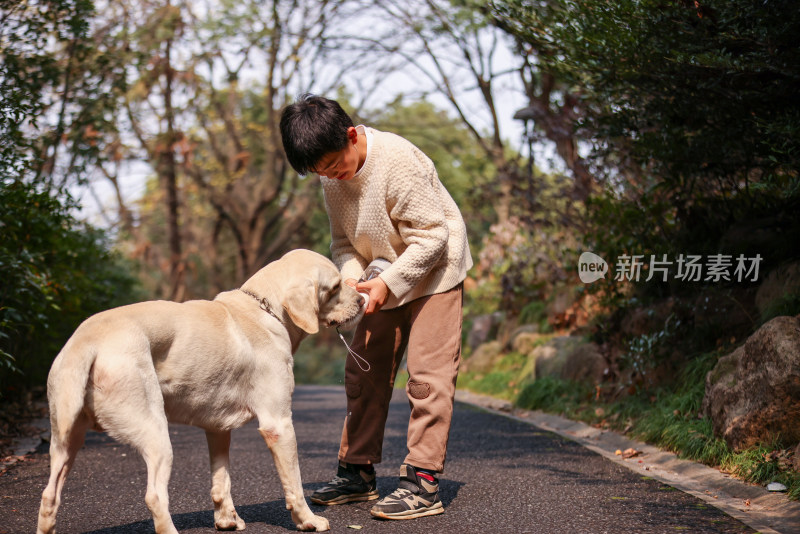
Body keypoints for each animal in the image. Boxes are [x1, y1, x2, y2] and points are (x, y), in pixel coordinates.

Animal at [36, 251, 362, 534]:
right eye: (335, 286)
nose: (362, 298)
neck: (264, 309)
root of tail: (87, 340)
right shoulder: (278, 425)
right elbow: (294, 484)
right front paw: (308, 521)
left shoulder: (217, 429)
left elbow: (221, 481)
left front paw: (227, 520)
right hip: (156, 435)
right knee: (154, 496)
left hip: (66, 441)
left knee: (49, 495)